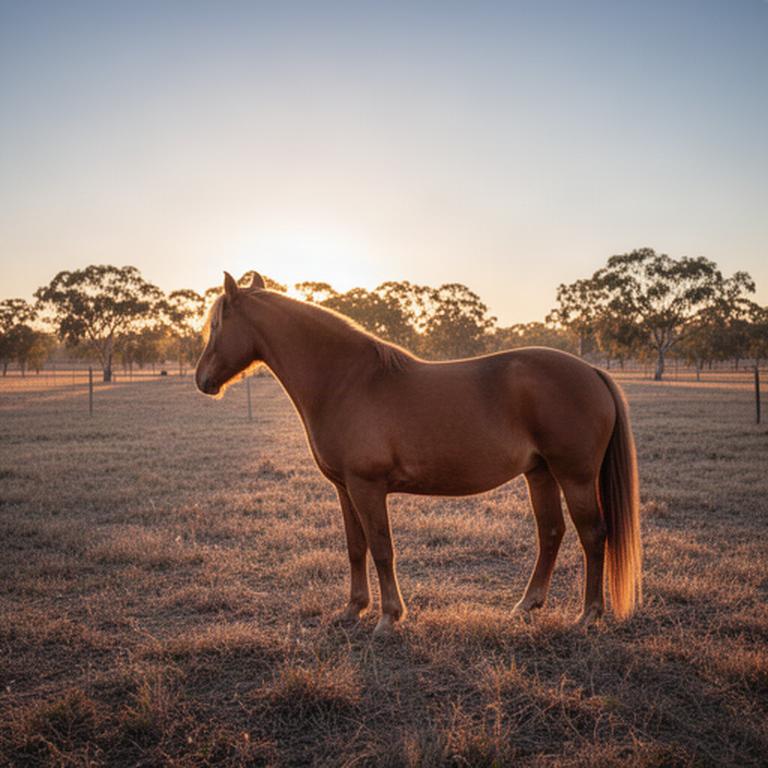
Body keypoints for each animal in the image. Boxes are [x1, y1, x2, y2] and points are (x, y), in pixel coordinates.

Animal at [195, 271, 642, 636]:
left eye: (216, 325)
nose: (202, 381)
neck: (347, 382)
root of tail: (592, 372)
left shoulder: (367, 487)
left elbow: (381, 548)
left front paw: (388, 618)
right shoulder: (345, 488)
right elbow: (355, 547)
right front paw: (352, 610)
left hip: (575, 477)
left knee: (592, 534)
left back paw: (588, 615)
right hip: (541, 473)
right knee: (550, 533)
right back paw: (526, 606)